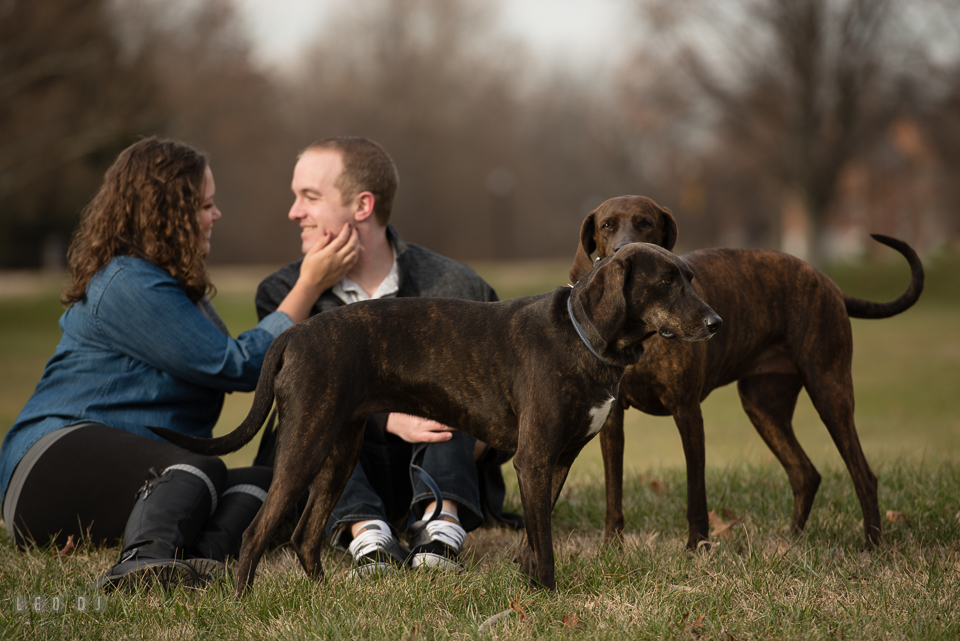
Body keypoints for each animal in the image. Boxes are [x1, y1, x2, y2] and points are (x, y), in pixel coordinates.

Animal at [568, 195, 924, 552]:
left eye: (645, 223)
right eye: (606, 226)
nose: (622, 250)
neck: (642, 334)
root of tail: (828, 283)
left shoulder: (687, 412)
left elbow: (696, 492)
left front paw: (697, 547)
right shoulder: (613, 421)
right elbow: (613, 490)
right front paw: (612, 545)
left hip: (830, 391)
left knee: (863, 475)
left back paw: (872, 543)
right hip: (763, 406)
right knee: (804, 473)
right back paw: (791, 541)